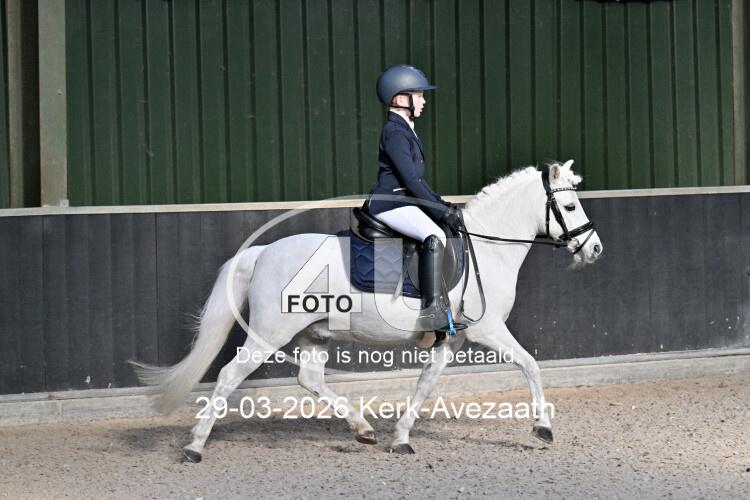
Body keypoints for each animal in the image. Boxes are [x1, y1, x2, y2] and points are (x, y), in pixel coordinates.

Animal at [131, 160, 603, 462]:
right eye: (571, 206)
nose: (595, 249)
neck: (488, 248)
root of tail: (264, 251)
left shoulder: (450, 340)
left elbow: (425, 384)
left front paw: (401, 438)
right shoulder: (488, 330)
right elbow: (530, 364)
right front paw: (543, 427)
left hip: (314, 333)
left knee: (310, 379)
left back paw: (363, 429)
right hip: (269, 333)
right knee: (231, 375)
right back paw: (195, 446)